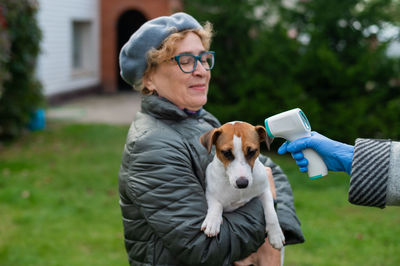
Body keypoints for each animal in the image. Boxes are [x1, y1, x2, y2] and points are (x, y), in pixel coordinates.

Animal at [200, 121, 284, 249]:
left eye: (252, 152)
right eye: (226, 153)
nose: (242, 183)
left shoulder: (265, 190)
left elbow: (271, 212)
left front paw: (276, 234)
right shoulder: (211, 194)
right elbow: (216, 205)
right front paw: (212, 221)